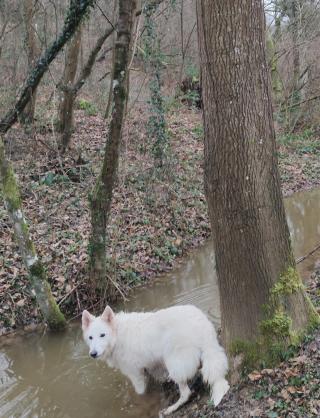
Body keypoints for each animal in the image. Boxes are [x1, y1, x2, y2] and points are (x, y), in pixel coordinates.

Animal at [81, 304, 229, 414]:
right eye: (90, 338)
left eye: (102, 335)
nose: (93, 353)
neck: (117, 335)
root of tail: (202, 325)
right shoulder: (151, 367)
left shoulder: (136, 375)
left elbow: (140, 393)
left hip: (174, 362)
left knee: (186, 393)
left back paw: (171, 408)